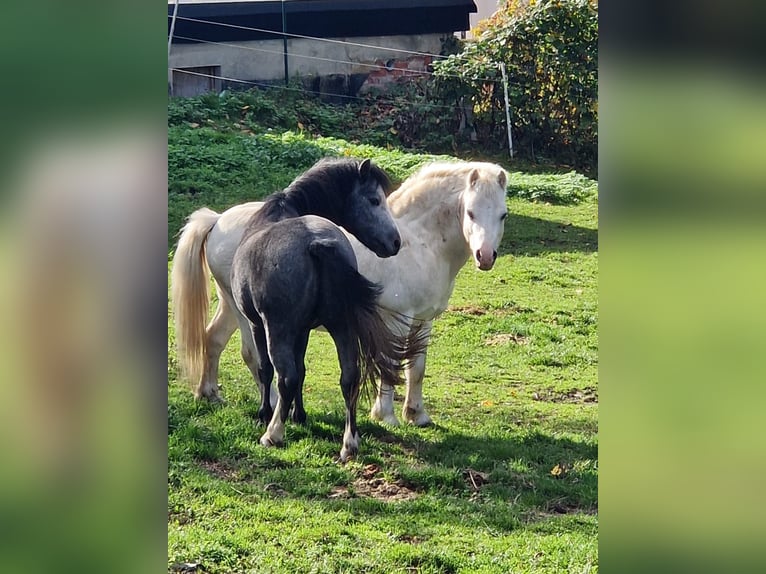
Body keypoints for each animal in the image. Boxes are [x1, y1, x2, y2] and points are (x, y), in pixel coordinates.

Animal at [172, 160, 508, 429]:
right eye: (470, 213)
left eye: (503, 215)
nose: (485, 256)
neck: (419, 242)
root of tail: (217, 220)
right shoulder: (398, 320)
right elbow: (390, 365)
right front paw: (386, 416)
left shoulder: (424, 321)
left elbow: (417, 368)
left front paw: (417, 415)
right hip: (247, 315)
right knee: (254, 356)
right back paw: (273, 410)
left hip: (231, 305)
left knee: (213, 339)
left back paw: (210, 393)